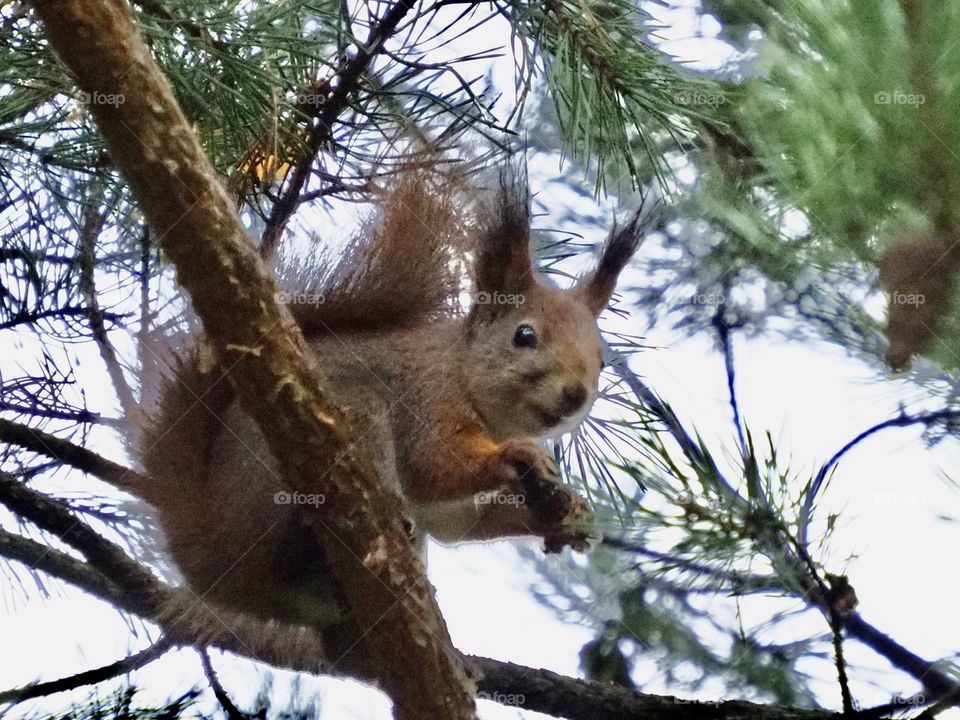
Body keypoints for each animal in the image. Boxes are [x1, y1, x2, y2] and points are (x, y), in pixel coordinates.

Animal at [129, 160, 644, 643]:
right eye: (524, 336)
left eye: (602, 361)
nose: (576, 394)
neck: (469, 382)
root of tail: (209, 556)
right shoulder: (428, 397)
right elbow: (438, 463)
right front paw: (516, 455)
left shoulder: (452, 507)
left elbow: (459, 522)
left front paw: (569, 515)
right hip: (320, 446)